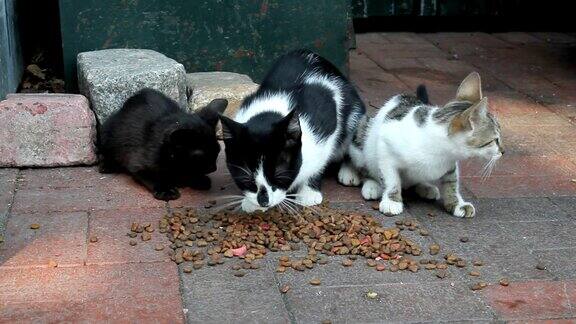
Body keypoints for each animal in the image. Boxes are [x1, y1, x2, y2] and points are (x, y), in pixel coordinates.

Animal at [99, 88, 227, 200]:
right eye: (200, 156)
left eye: (217, 151)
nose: (213, 168)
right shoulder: (137, 164)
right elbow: (154, 176)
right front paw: (165, 189)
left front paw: (198, 178)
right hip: (106, 132)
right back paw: (107, 165)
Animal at [218, 49, 366, 213]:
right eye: (246, 178)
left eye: (278, 174)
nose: (263, 201)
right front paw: (250, 203)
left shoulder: (327, 115)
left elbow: (321, 156)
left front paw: (308, 192)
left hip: (355, 114)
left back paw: (349, 172)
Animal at [348, 72, 502, 216]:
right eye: (495, 140)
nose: (503, 151)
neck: (440, 152)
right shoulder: (386, 147)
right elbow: (391, 179)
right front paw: (392, 201)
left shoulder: (451, 163)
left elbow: (451, 183)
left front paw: (457, 204)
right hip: (361, 138)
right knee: (364, 167)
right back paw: (370, 184)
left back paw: (425, 187)